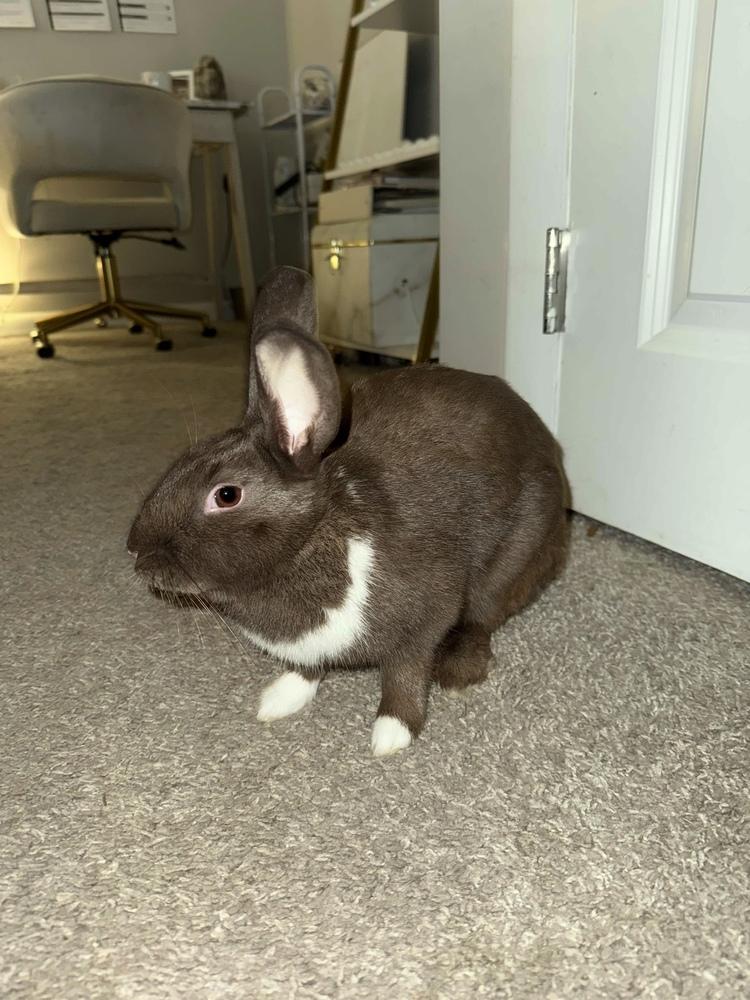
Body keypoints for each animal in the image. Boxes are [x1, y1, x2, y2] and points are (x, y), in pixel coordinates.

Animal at [127, 266, 569, 756]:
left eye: (226, 495)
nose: (135, 552)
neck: (312, 538)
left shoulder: (425, 617)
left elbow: (405, 672)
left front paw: (392, 734)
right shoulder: (308, 648)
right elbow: (307, 668)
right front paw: (278, 700)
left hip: (512, 557)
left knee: (482, 619)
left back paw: (458, 673)